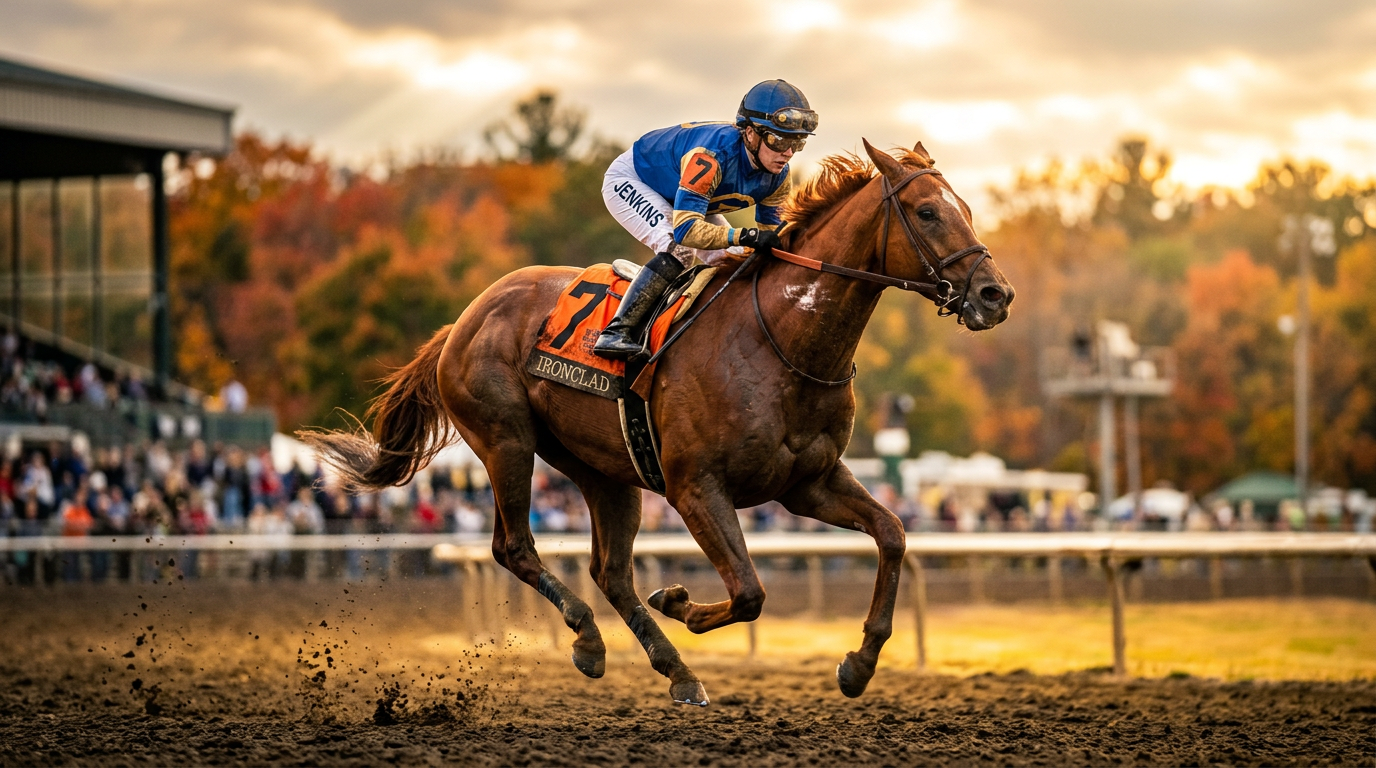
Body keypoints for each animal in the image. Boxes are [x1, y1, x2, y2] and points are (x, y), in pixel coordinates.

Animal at [302, 139, 1014, 706]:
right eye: (927, 212)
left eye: (966, 208)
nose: (994, 294)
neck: (782, 339)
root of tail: (465, 318)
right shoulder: (696, 487)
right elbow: (750, 592)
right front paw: (678, 603)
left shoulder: (806, 483)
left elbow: (892, 533)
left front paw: (860, 663)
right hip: (507, 441)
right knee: (515, 547)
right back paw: (591, 640)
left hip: (604, 470)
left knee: (610, 570)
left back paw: (673, 671)